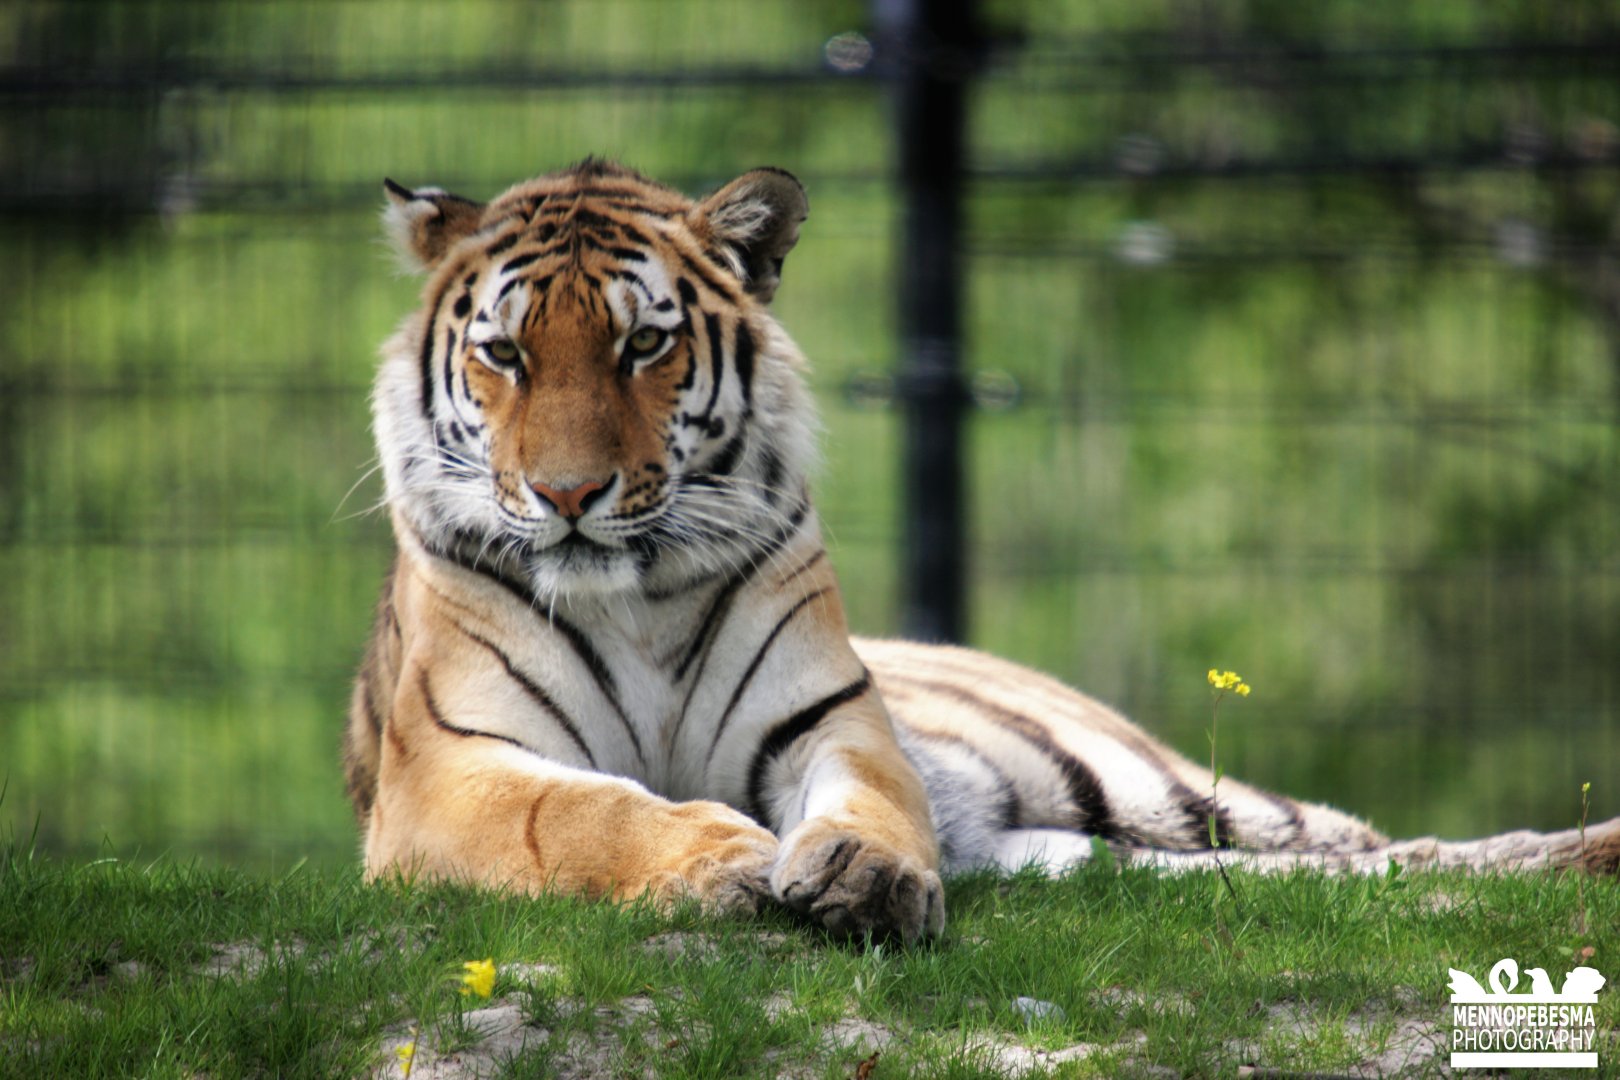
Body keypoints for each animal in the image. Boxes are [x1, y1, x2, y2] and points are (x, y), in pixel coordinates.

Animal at [343, 159, 1619, 944]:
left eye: (643, 346)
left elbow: (867, 800)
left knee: (1377, 845)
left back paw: (1580, 855)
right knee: (1361, 872)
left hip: (1137, 784)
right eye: (505, 354)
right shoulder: (449, 769)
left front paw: (863, 875)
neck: (634, 596)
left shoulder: (834, 722)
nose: (567, 494)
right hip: (1099, 845)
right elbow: (584, 814)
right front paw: (720, 863)